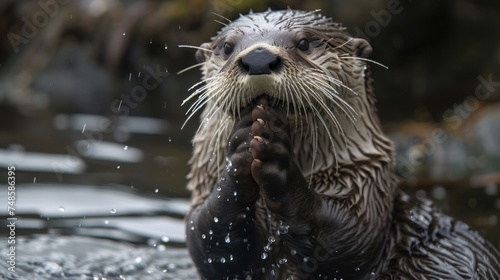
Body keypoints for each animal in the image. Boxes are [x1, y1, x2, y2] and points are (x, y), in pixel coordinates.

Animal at [183, 9, 500, 280]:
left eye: (304, 43)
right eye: (227, 47)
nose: (259, 58)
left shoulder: (366, 188)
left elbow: (344, 240)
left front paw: (275, 156)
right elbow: (207, 238)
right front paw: (242, 148)